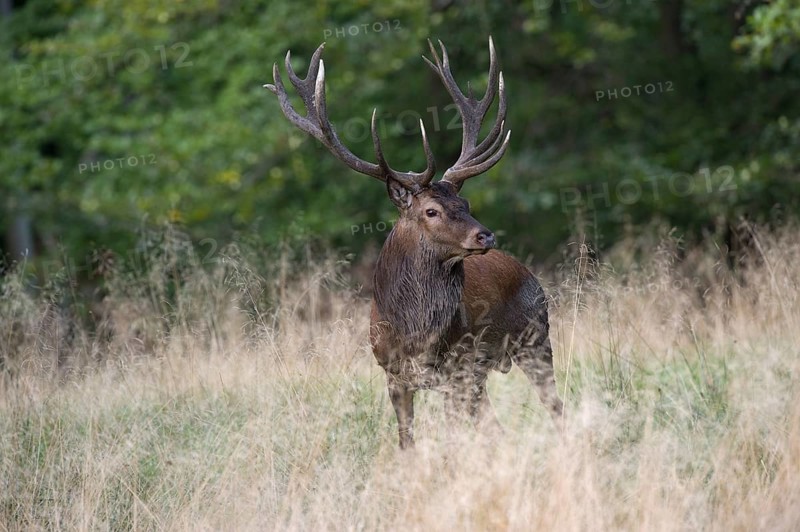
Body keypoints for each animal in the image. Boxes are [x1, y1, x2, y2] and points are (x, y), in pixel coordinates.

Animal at [265, 37, 563, 449]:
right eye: (431, 211)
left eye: (466, 204)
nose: (485, 234)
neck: (415, 336)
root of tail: (526, 271)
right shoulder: (394, 375)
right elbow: (406, 441)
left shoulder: (460, 367)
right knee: (497, 424)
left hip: (535, 338)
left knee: (554, 406)